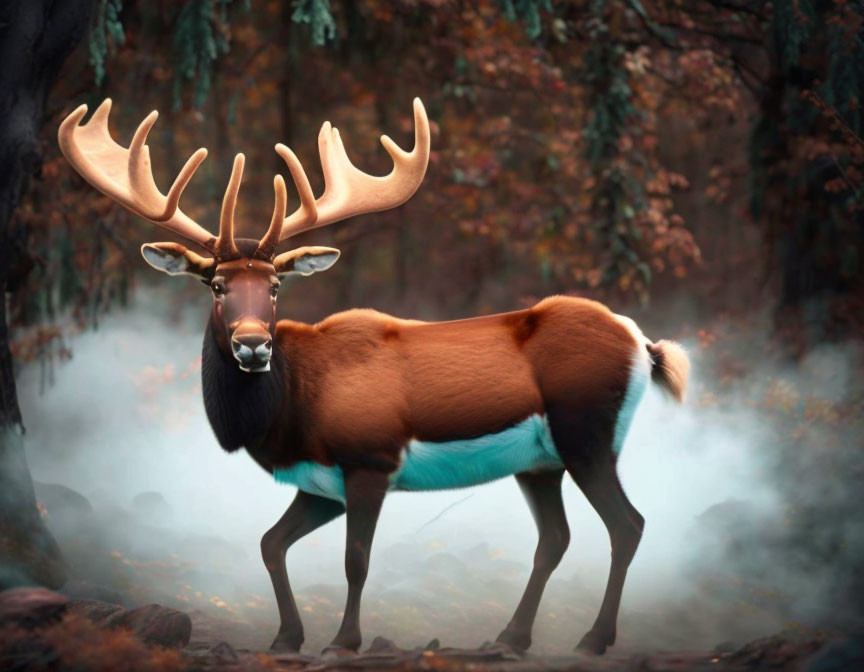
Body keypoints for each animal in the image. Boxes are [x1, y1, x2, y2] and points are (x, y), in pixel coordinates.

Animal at [59, 100, 688, 656]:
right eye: (215, 285)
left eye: (276, 286)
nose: (253, 345)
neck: (295, 410)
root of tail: (643, 344)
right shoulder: (320, 483)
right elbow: (269, 543)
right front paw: (287, 638)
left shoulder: (369, 458)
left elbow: (355, 561)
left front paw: (342, 641)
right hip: (539, 462)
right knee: (555, 538)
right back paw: (510, 638)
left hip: (588, 435)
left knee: (628, 525)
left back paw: (591, 640)